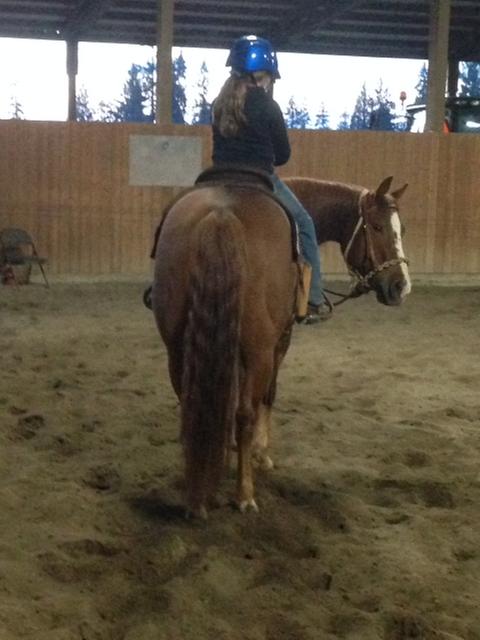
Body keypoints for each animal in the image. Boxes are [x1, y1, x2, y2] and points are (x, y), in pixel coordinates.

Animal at [150, 170, 410, 518]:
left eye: (401, 229)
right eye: (378, 227)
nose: (400, 286)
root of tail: (221, 214)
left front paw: (227, 450)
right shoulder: (280, 338)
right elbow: (268, 395)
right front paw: (260, 453)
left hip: (177, 348)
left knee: (192, 403)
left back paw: (197, 494)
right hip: (259, 347)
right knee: (245, 413)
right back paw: (244, 495)